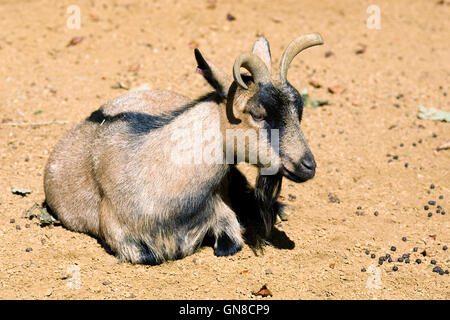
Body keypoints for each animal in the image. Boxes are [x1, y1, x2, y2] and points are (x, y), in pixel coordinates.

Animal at [43, 33, 324, 264]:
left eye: (298, 110)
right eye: (257, 113)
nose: (308, 166)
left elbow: (230, 242)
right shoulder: (119, 233)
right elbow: (150, 256)